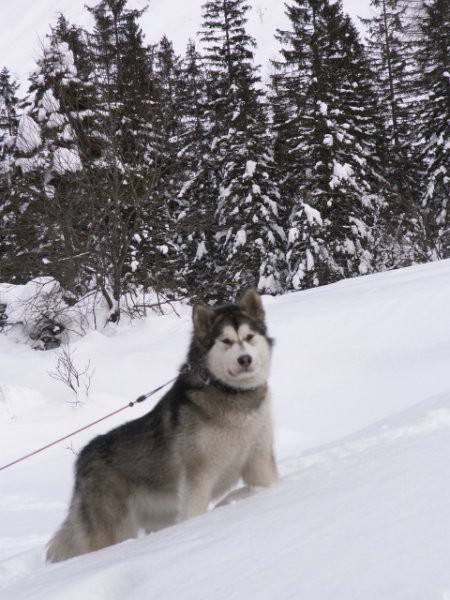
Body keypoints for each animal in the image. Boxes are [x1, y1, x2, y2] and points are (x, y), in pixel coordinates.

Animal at [46, 288, 278, 564]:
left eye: (250, 337)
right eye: (226, 341)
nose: (245, 359)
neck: (232, 397)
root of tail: (82, 459)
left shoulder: (259, 459)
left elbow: (264, 484)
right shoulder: (197, 477)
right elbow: (195, 511)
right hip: (113, 528)